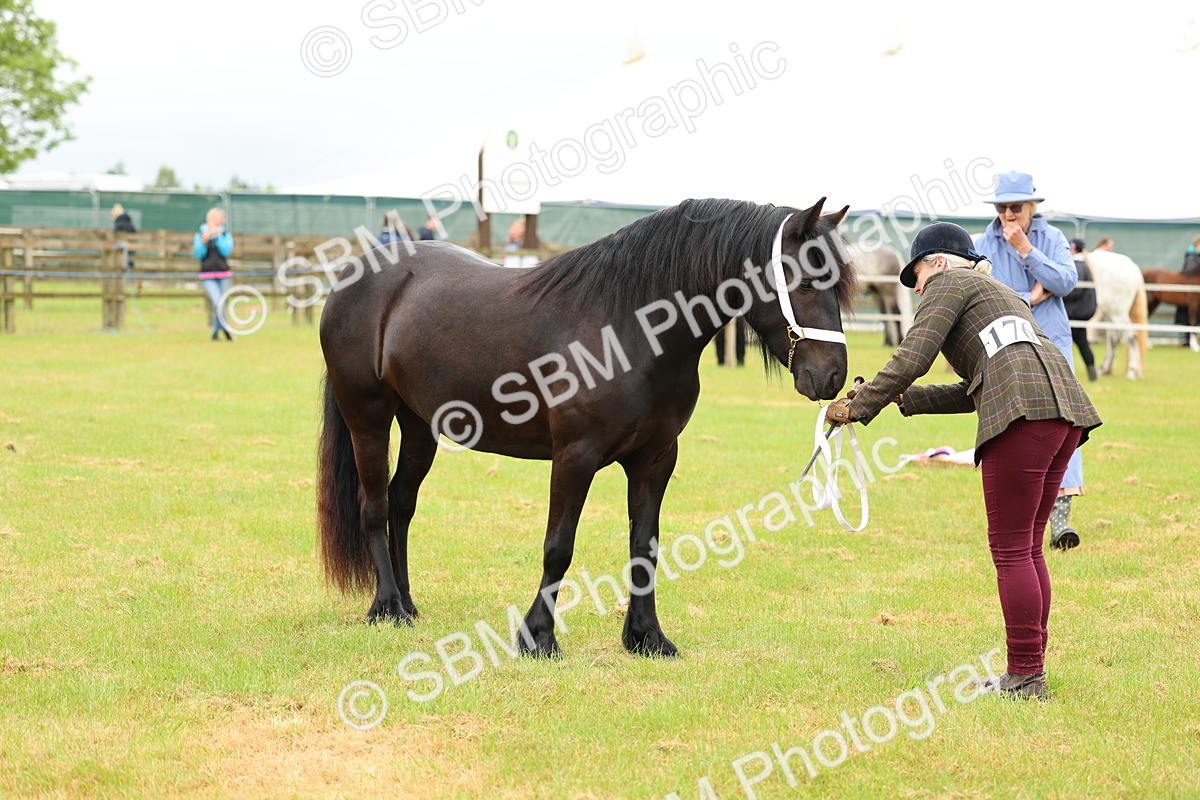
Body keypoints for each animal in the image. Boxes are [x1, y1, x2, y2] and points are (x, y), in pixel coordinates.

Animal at [316, 198, 857, 658]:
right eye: (804, 280)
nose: (833, 376)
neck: (627, 330)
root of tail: (356, 275)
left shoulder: (656, 458)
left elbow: (644, 545)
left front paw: (646, 637)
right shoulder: (574, 456)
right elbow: (558, 547)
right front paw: (538, 638)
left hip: (420, 425)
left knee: (401, 503)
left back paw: (407, 604)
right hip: (367, 416)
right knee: (373, 506)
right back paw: (386, 607)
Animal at [1086, 249, 1148, 379]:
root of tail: (1133, 267)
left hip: (1117, 313)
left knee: (1130, 336)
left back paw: (1131, 371)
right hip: (1110, 314)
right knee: (1114, 339)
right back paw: (1103, 370)